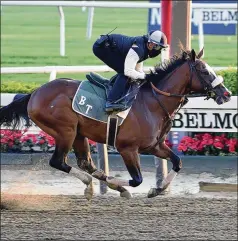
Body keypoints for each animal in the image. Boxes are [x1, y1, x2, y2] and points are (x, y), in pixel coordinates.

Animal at [0, 47, 231, 200]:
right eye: (204, 71)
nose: (226, 93)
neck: (153, 103)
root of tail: (34, 93)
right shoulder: (127, 148)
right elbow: (137, 179)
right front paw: (119, 185)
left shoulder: (154, 146)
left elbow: (177, 162)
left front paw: (156, 190)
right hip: (65, 131)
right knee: (58, 162)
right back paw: (95, 185)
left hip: (78, 133)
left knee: (86, 163)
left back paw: (94, 185)